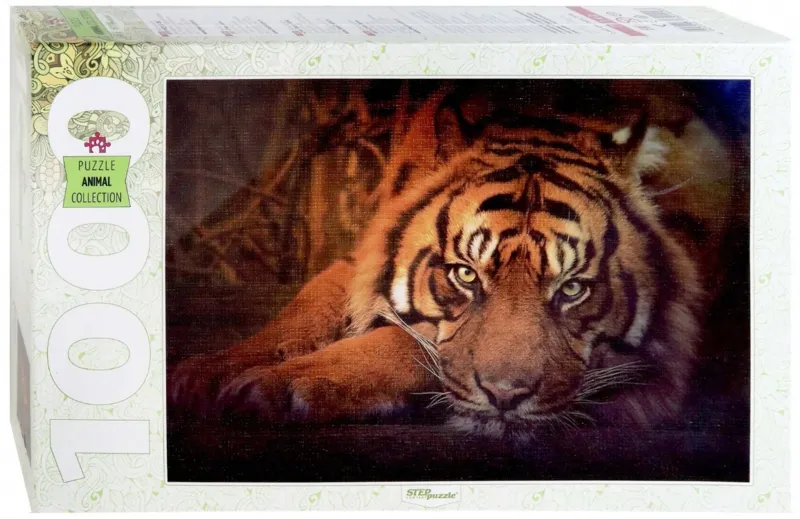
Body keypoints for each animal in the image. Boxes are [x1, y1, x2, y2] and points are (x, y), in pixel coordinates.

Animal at [169, 82, 736, 437]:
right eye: (465, 274)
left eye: (573, 288)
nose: (506, 397)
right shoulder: (361, 254)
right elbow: (307, 303)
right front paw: (208, 371)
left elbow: (404, 340)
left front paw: (271, 384)